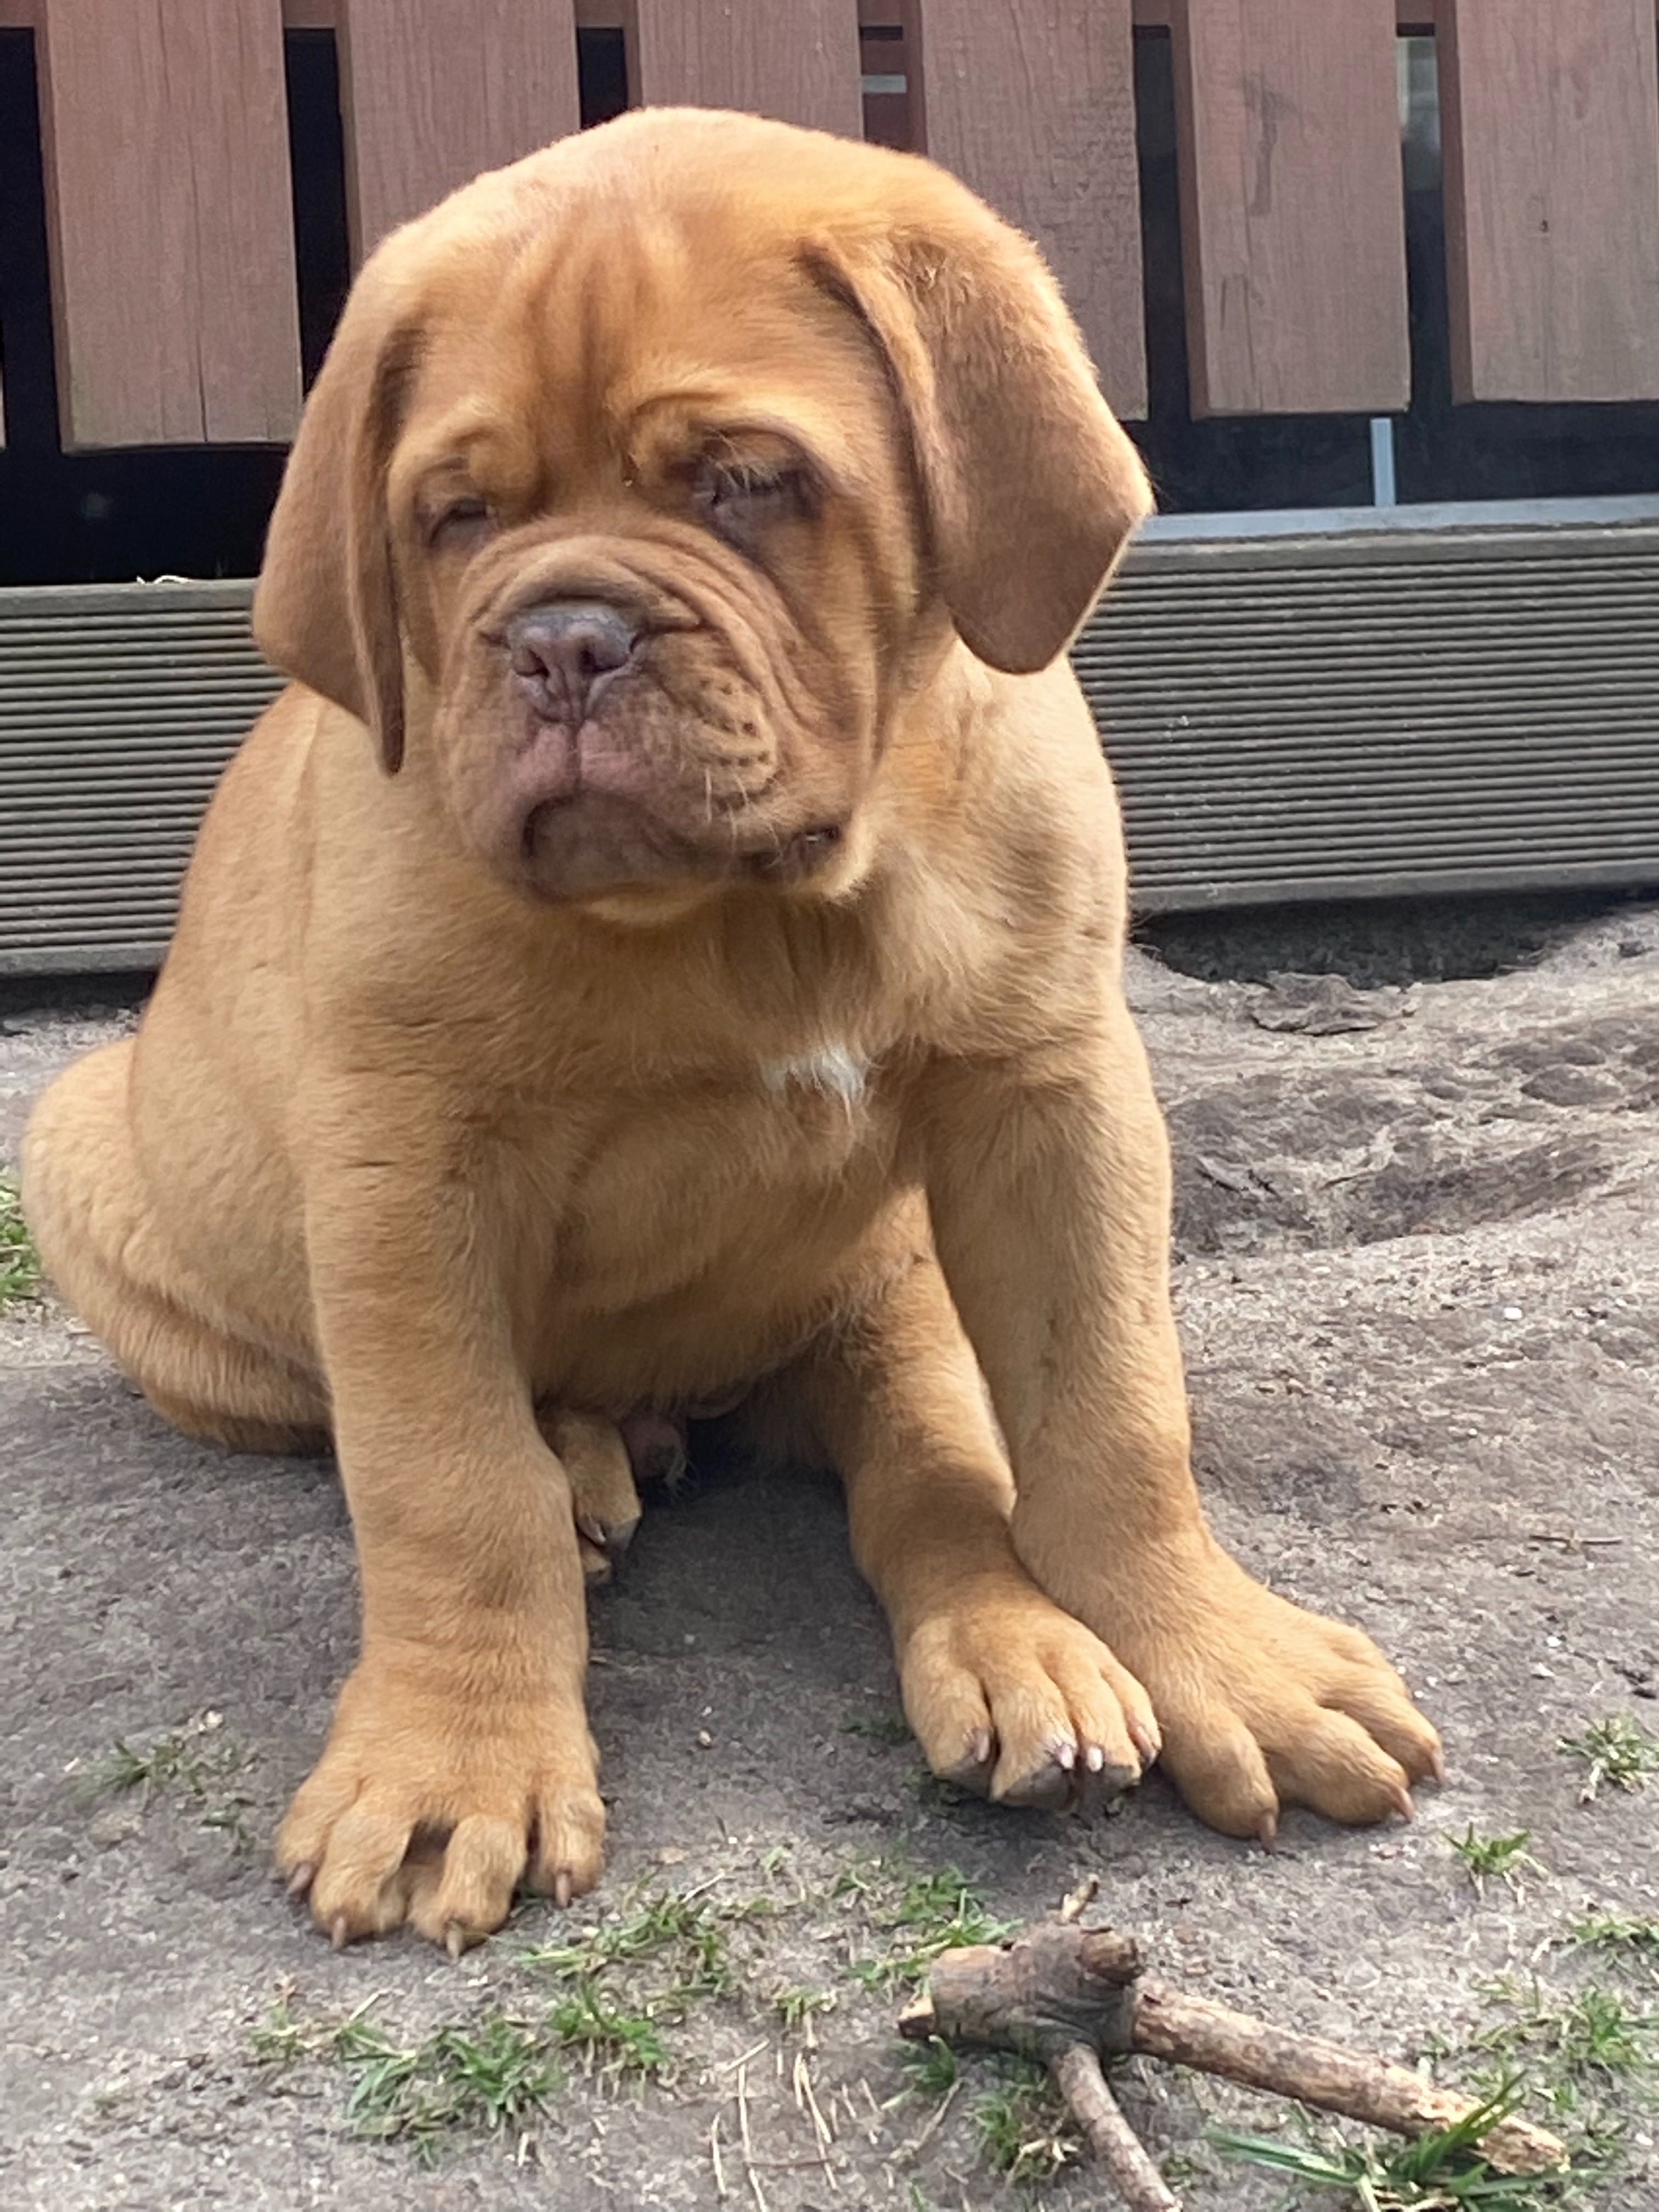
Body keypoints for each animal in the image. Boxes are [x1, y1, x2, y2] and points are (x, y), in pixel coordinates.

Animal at [19, 108, 1442, 1955]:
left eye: (744, 481)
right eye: (455, 516)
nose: (564, 638)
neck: (750, 914)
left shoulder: (1050, 1102)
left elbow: (1112, 1416)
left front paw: (1221, 1657)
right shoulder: (409, 1170)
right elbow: (447, 1488)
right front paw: (452, 1765)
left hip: (896, 1284)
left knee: (934, 1476)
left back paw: (1024, 1660)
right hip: (87, 1167)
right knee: (450, 1425)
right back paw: (588, 1466)